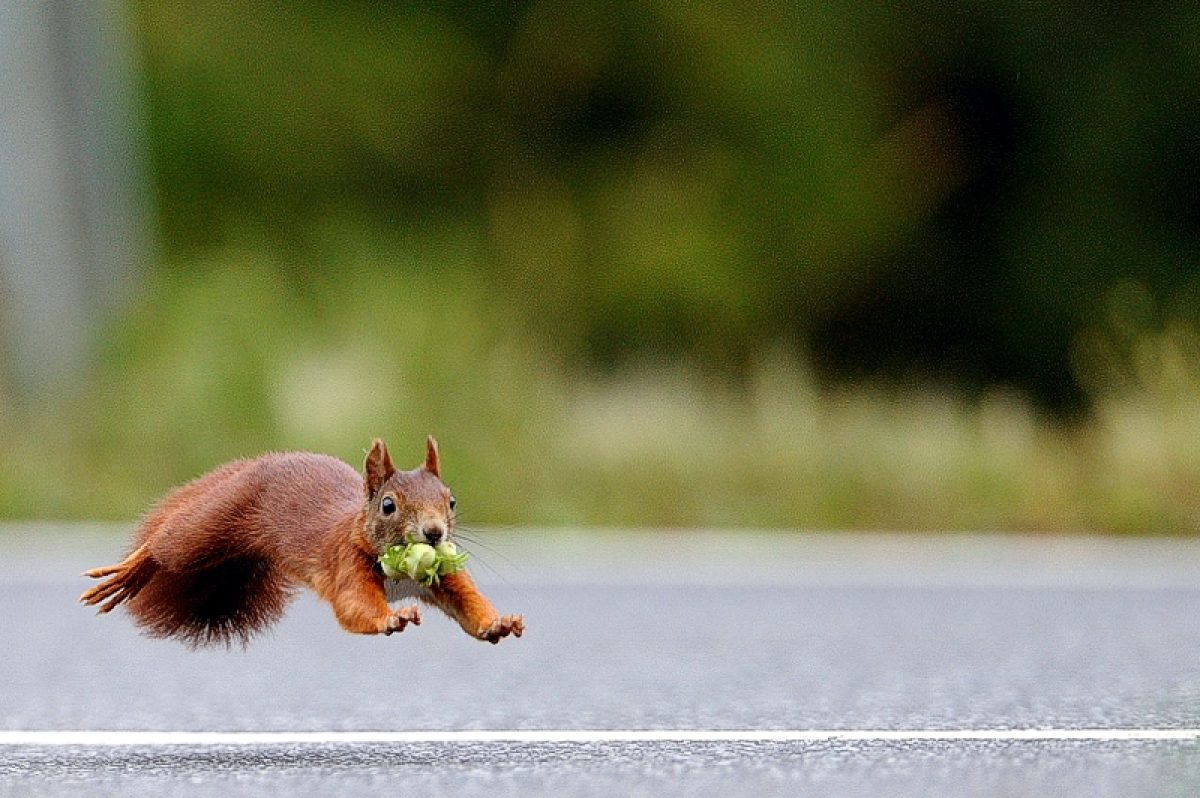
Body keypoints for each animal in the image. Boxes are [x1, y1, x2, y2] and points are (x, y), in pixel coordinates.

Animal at [78, 436, 520, 648]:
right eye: (388, 505)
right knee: (168, 542)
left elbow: (469, 607)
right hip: (212, 527)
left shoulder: (444, 577)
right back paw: (129, 572)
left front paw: (498, 623)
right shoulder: (346, 563)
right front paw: (390, 618)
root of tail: (258, 464)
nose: (433, 533)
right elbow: (354, 606)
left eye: (451, 501)